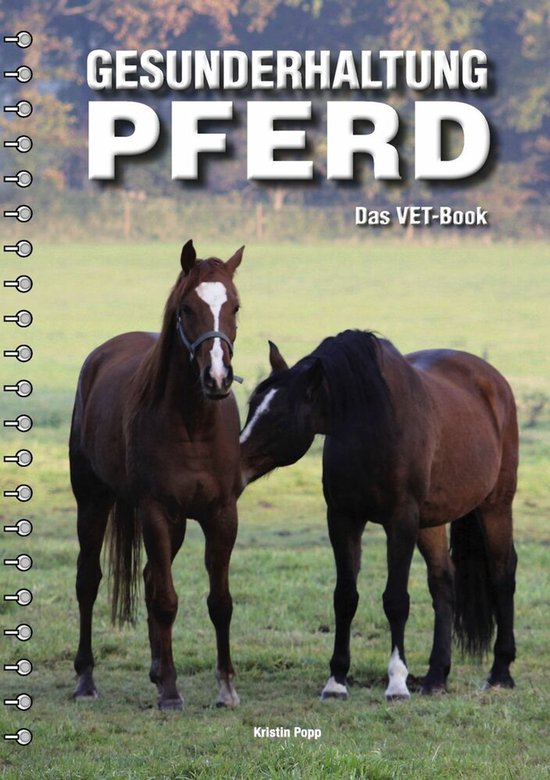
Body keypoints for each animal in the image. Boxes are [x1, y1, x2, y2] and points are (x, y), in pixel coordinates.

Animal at [70, 240, 244, 710]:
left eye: (235, 307)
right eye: (186, 308)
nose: (217, 377)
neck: (193, 424)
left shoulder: (222, 515)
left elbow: (220, 601)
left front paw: (226, 686)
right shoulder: (155, 512)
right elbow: (166, 599)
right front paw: (170, 690)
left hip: (178, 523)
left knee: (148, 577)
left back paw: (153, 667)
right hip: (93, 502)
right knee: (88, 581)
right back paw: (85, 678)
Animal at [240, 330, 518, 700]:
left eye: (281, 418)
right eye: (252, 406)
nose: (235, 461)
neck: (371, 425)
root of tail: (493, 381)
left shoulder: (400, 521)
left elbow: (396, 600)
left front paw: (397, 682)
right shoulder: (343, 519)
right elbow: (345, 597)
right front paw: (336, 681)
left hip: (495, 505)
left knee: (503, 574)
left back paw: (500, 672)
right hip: (430, 521)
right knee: (443, 581)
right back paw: (435, 676)